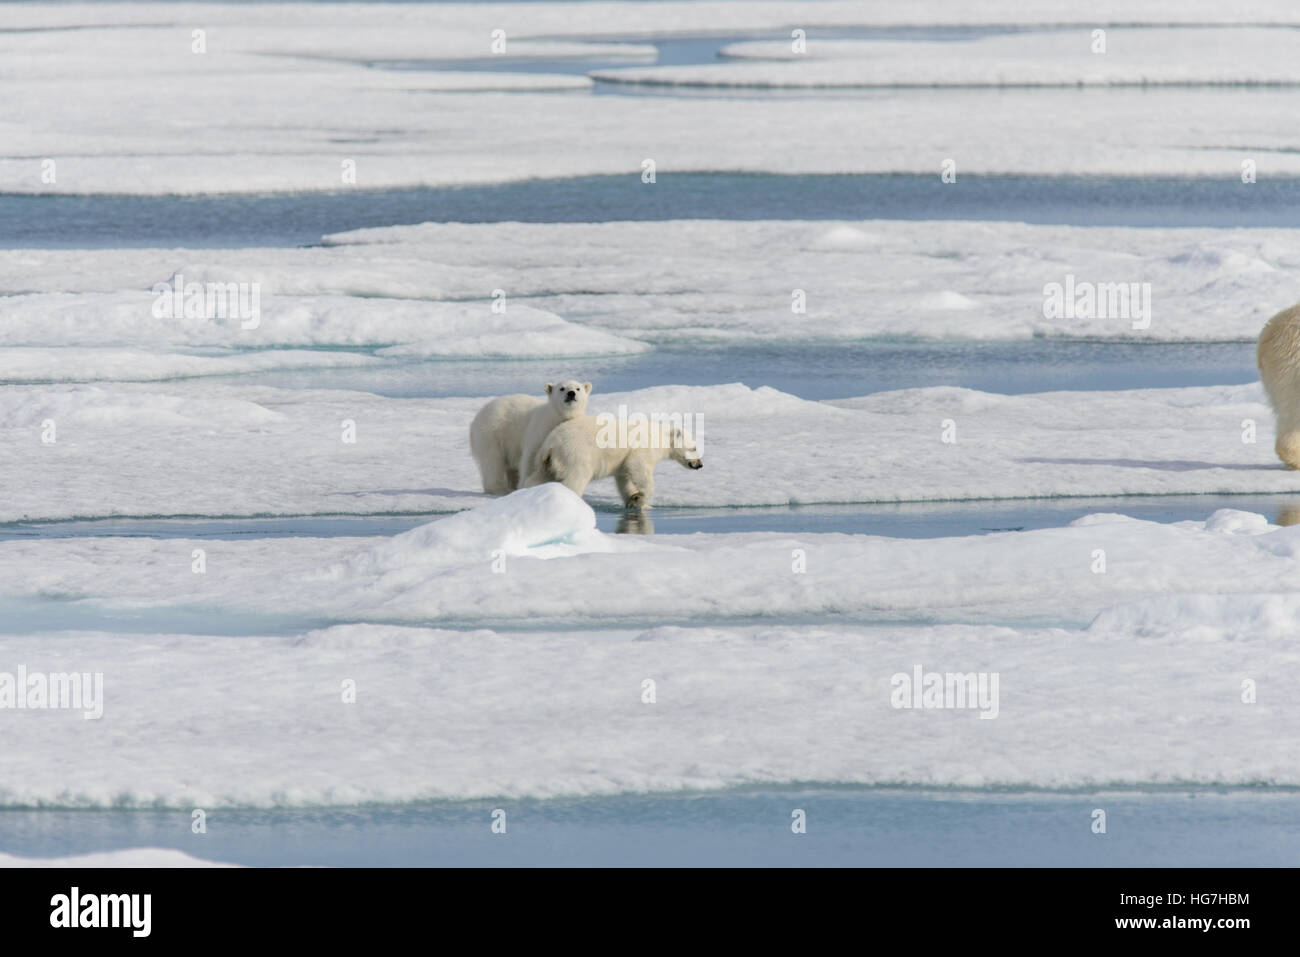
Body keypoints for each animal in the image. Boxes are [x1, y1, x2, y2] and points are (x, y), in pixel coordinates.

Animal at [523, 413, 702, 509]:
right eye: (694, 447)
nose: (700, 464)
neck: (660, 436)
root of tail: (550, 445)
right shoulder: (642, 448)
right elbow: (638, 468)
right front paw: (641, 498)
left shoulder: (623, 462)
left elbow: (624, 478)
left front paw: (635, 501)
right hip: (576, 454)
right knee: (576, 479)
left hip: (547, 463)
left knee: (538, 478)